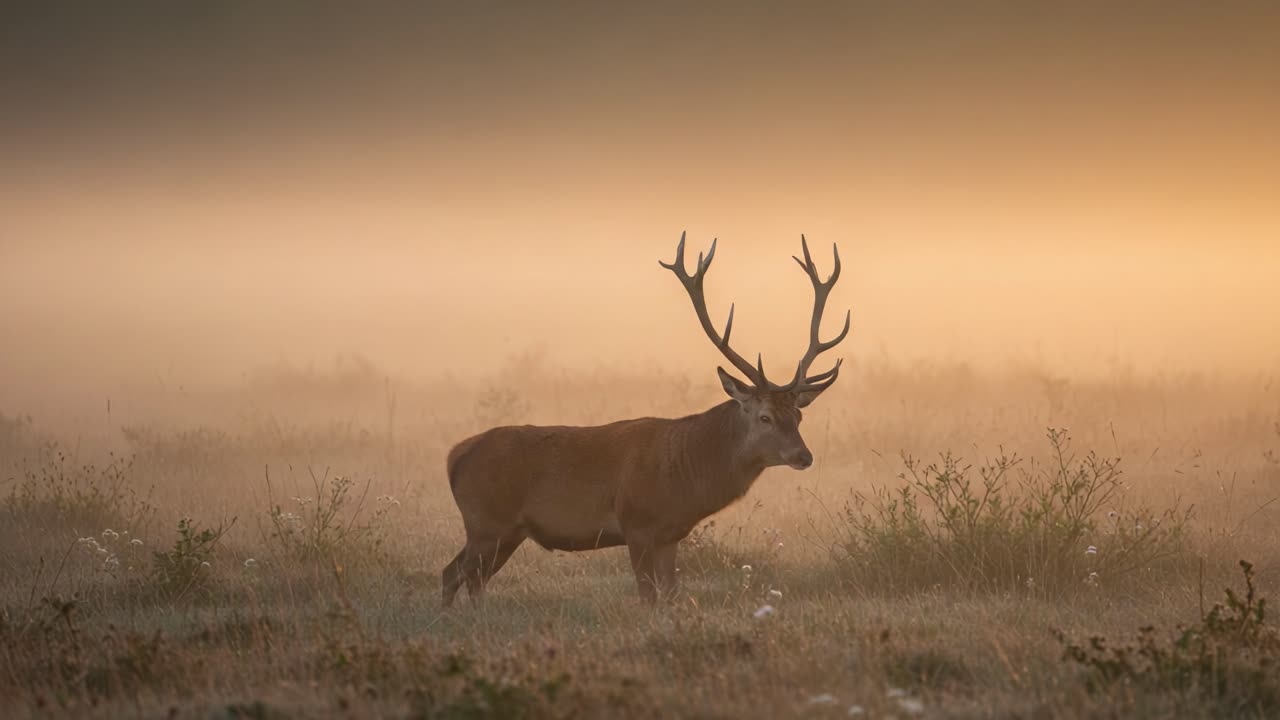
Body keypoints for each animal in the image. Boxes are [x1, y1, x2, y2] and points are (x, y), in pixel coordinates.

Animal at [442, 232, 851, 605]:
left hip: (505, 531)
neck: (686, 473)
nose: (804, 456)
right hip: (487, 522)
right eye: (765, 417)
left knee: (454, 573)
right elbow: (647, 596)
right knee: (465, 576)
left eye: (798, 415)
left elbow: (670, 595)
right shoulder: (635, 523)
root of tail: (454, 456)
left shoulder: (671, 535)